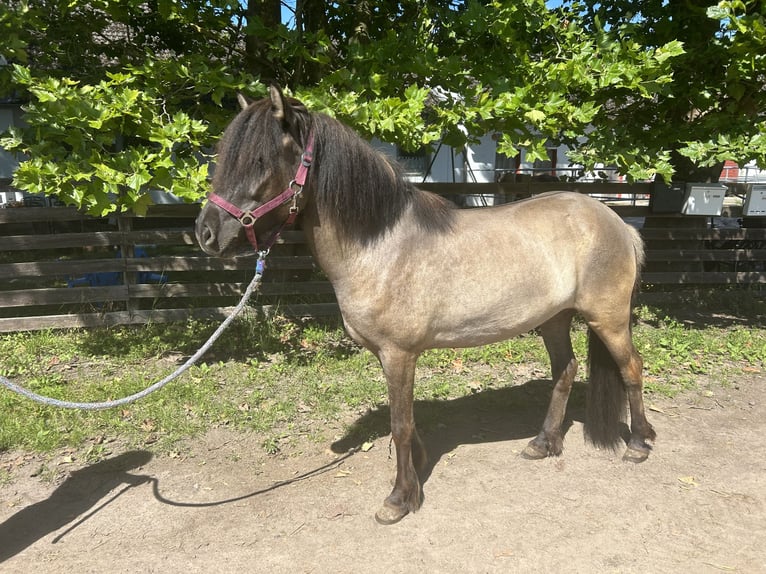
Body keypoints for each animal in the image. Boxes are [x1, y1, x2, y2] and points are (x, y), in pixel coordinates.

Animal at [195, 84, 656, 528]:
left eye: (260, 161)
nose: (205, 233)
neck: (380, 246)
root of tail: (618, 223)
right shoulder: (391, 356)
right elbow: (408, 421)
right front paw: (416, 470)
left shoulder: (399, 354)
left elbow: (399, 424)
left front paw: (399, 499)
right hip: (554, 319)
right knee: (565, 370)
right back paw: (543, 443)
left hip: (608, 318)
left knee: (631, 368)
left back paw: (638, 443)